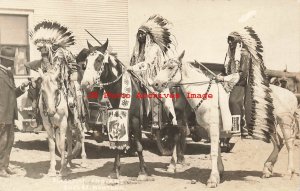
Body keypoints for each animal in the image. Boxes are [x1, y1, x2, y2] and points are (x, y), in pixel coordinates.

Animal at [81, 39, 151, 180]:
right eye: (86, 61)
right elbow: (118, 144)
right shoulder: (115, 118)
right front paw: (115, 170)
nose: (85, 84)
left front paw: (142, 172)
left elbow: (139, 145)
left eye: (99, 59)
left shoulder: (136, 120)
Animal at [154, 50, 298, 187]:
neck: (206, 95)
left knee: (289, 145)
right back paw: (267, 168)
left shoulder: (212, 128)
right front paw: (219, 173)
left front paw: (212, 179)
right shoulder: (210, 130)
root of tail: (291, 95)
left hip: (284, 122)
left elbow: (212, 152)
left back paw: (288, 172)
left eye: (170, 67)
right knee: (279, 142)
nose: (155, 84)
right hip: (269, 125)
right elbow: (216, 150)